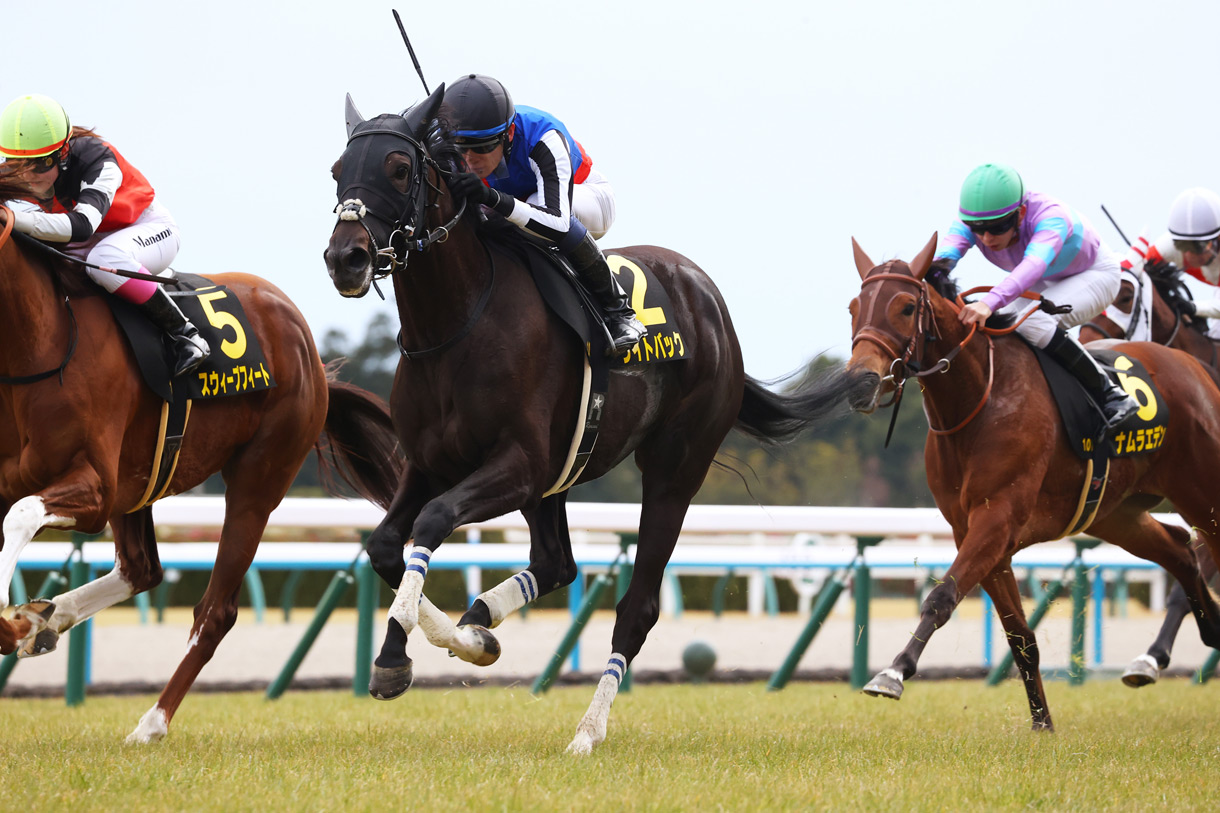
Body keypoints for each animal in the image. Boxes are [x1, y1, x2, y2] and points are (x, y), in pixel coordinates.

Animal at [0, 189, 403, 744]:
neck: (39, 344)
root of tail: (310, 351)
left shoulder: (95, 488)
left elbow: (20, 514)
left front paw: (6, 623)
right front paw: (25, 619)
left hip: (255, 483)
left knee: (215, 611)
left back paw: (150, 723)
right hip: (140, 483)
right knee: (142, 569)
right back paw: (46, 619)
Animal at [323, 86, 848, 754]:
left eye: (397, 168)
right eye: (337, 170)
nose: (346, 257)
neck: (458, 324)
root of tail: (710, 302)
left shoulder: (517, 464)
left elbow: (433, 521)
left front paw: (396, 654)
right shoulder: (432, 463)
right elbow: (388, 544)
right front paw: (456, 642)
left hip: (673, 469)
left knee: (638, 606)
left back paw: (586, 731)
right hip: (556, 479)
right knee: (557, 563)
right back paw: (483, 621)